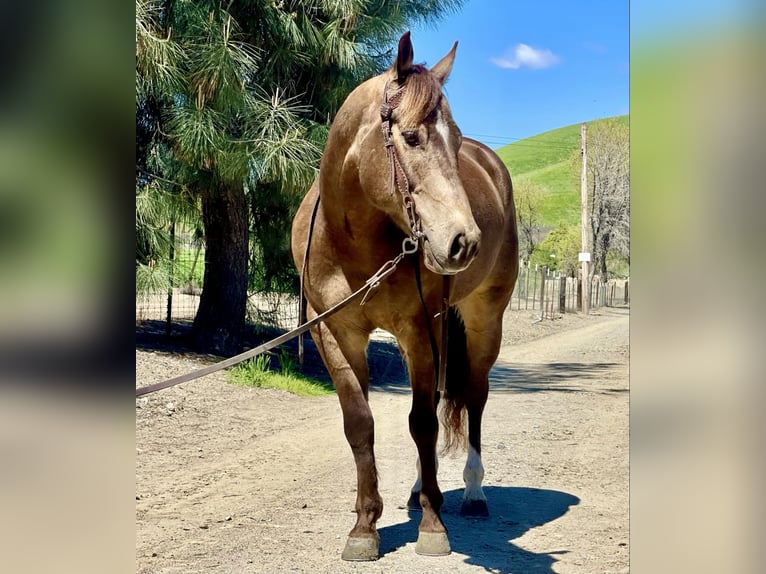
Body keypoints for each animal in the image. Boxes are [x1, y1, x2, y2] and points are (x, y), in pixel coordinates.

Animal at [292, 32, 520, 564]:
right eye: (412, 137)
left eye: (455, 140)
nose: (464, 242)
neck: (354, 245)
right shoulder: (334, 333)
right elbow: (360, 424)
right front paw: (364, 527)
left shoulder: (421, 327)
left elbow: (421, 423)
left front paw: (433, 528)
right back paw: (421, 491)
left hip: (483, 321)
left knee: (472, 398)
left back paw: (472, 492)